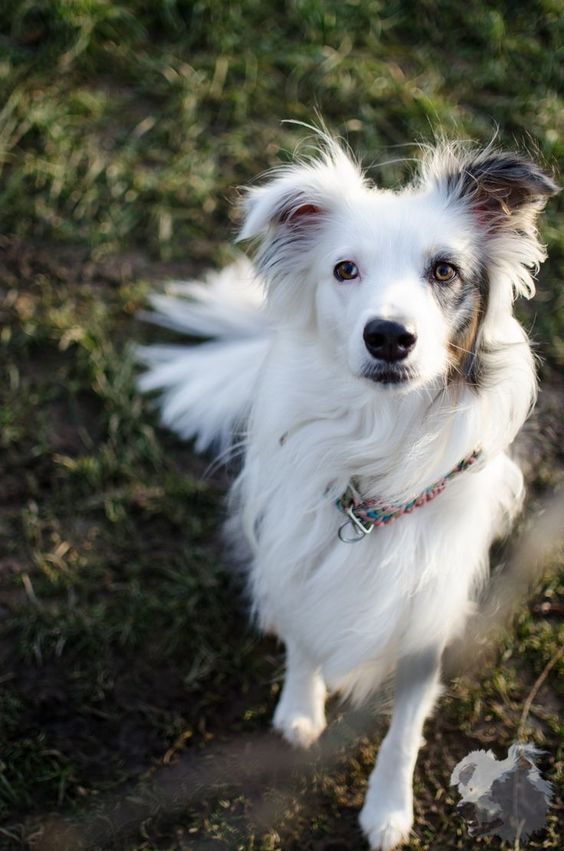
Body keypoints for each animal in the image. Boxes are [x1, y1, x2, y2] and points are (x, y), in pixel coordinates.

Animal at [137, 135, 556, 851]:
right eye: (344, 270)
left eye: (445, 271)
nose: (387, 336)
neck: (378, 441)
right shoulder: (297, 547)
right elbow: (305, 631)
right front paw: (298, 710)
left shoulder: (430, 605)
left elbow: (406, 727)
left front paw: (388, 808)